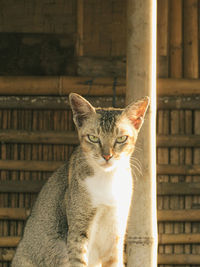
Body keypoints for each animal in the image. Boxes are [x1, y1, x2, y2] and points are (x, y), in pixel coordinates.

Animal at [10, 93, 148, 266]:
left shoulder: (116, 231)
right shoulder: (78, 229)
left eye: (121, 138)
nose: (107, 156)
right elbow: (79, 260)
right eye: (93, 138)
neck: (107, 180)